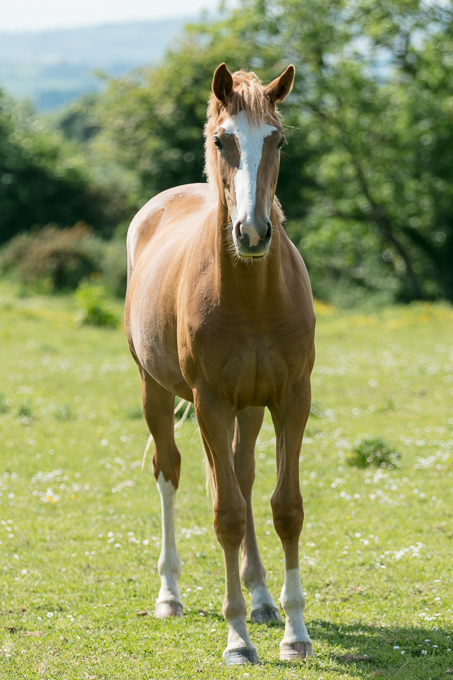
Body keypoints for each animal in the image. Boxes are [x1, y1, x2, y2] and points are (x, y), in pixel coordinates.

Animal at [125, 63, 316, 665]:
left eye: (278, 140)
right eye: (220, 140)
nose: (252, 233)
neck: (252, 296)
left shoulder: (291, 397)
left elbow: (285, 507)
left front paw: (293, 632)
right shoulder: (209, 401)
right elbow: (225, 513)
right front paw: (237, 639)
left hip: (247, 407)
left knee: (243, 474)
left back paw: (261, 598)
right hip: (157, 391)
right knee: (169, 469)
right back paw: (170, 594)